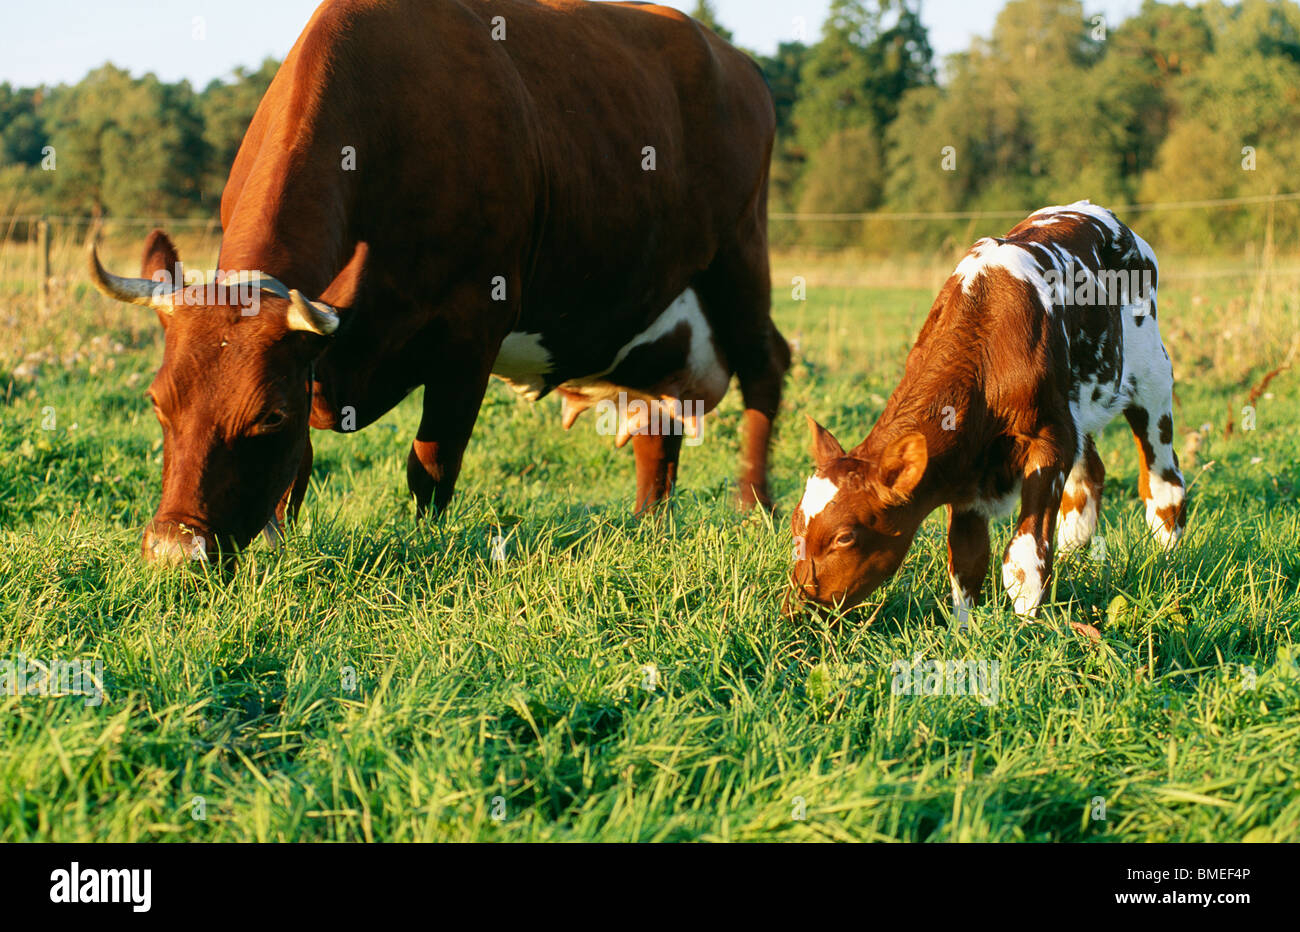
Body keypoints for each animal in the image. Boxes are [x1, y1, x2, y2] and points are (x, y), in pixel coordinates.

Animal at [88, 0, 789, 565]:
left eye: (267, 416)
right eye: (158, 401)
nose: (173, 550)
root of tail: (734, 59)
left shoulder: (471, 332)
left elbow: (430, 466)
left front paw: (427, 546)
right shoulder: (315, 356)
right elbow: (301, 466)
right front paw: (282, 540)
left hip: (741, 255)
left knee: (766, 366)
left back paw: (753, 507)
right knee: (659, 420)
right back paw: (648, 525)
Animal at [787, 201, 1187, 627]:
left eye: (845, 536)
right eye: (795, 523)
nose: (798, 605)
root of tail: (1094, 210)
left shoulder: (1050, 438)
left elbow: (1024, 559)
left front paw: (1027, 626)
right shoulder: (968, 469)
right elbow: (967, 559)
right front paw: (963, 631)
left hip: (1152, 380)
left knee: (1164, 484)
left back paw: (1168, 563)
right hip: (1081, 404)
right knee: (1087, 479)